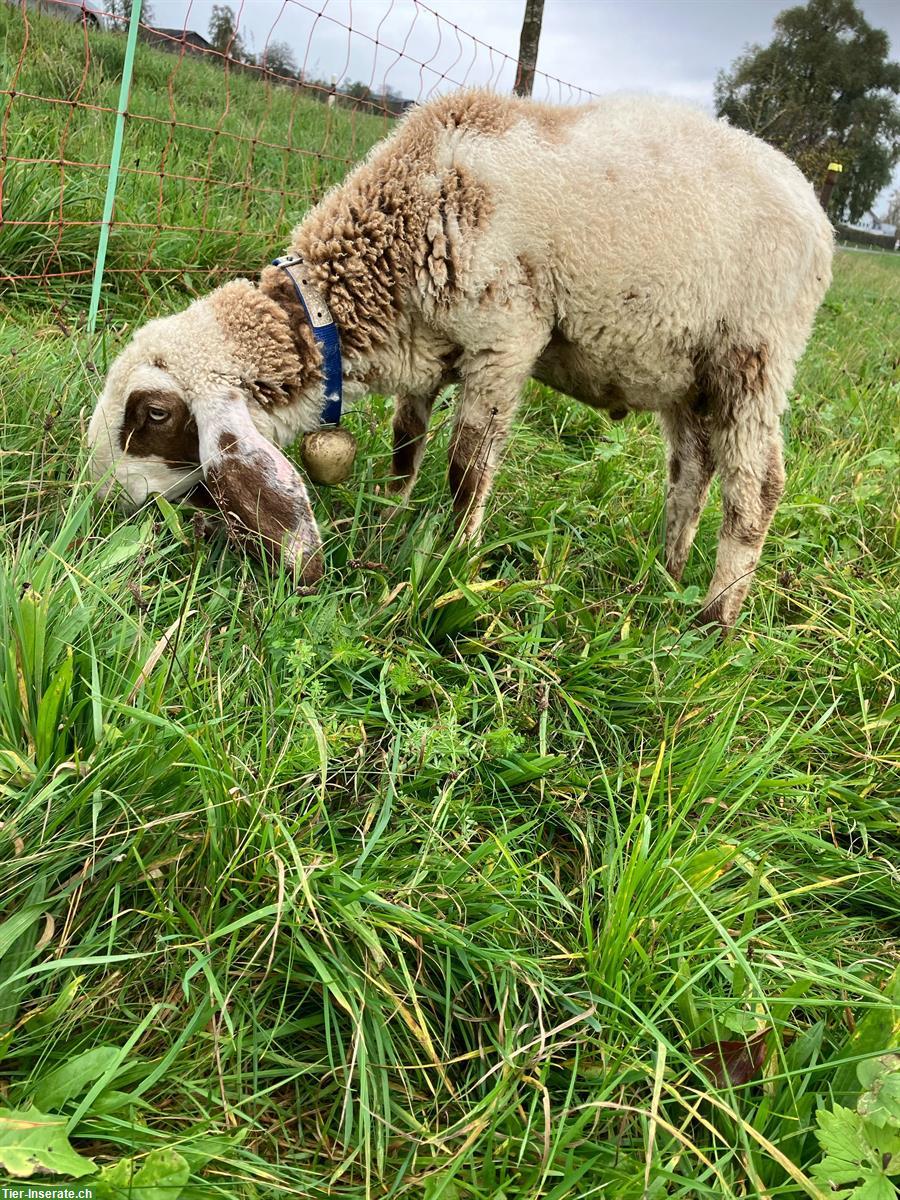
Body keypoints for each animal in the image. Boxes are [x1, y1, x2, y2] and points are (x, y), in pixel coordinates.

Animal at [88, 87, 835, 628]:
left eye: (154, 415)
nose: (102, 509)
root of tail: (817, 212)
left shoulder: (505, 338)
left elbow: (466, 468)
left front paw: (455, 565)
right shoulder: (424, 350)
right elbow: (405, 444)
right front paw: (389, 523)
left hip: (754, 354)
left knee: (757, 487)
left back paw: (713, 621)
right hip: (683, 374)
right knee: (691, 469)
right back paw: (665, 573)